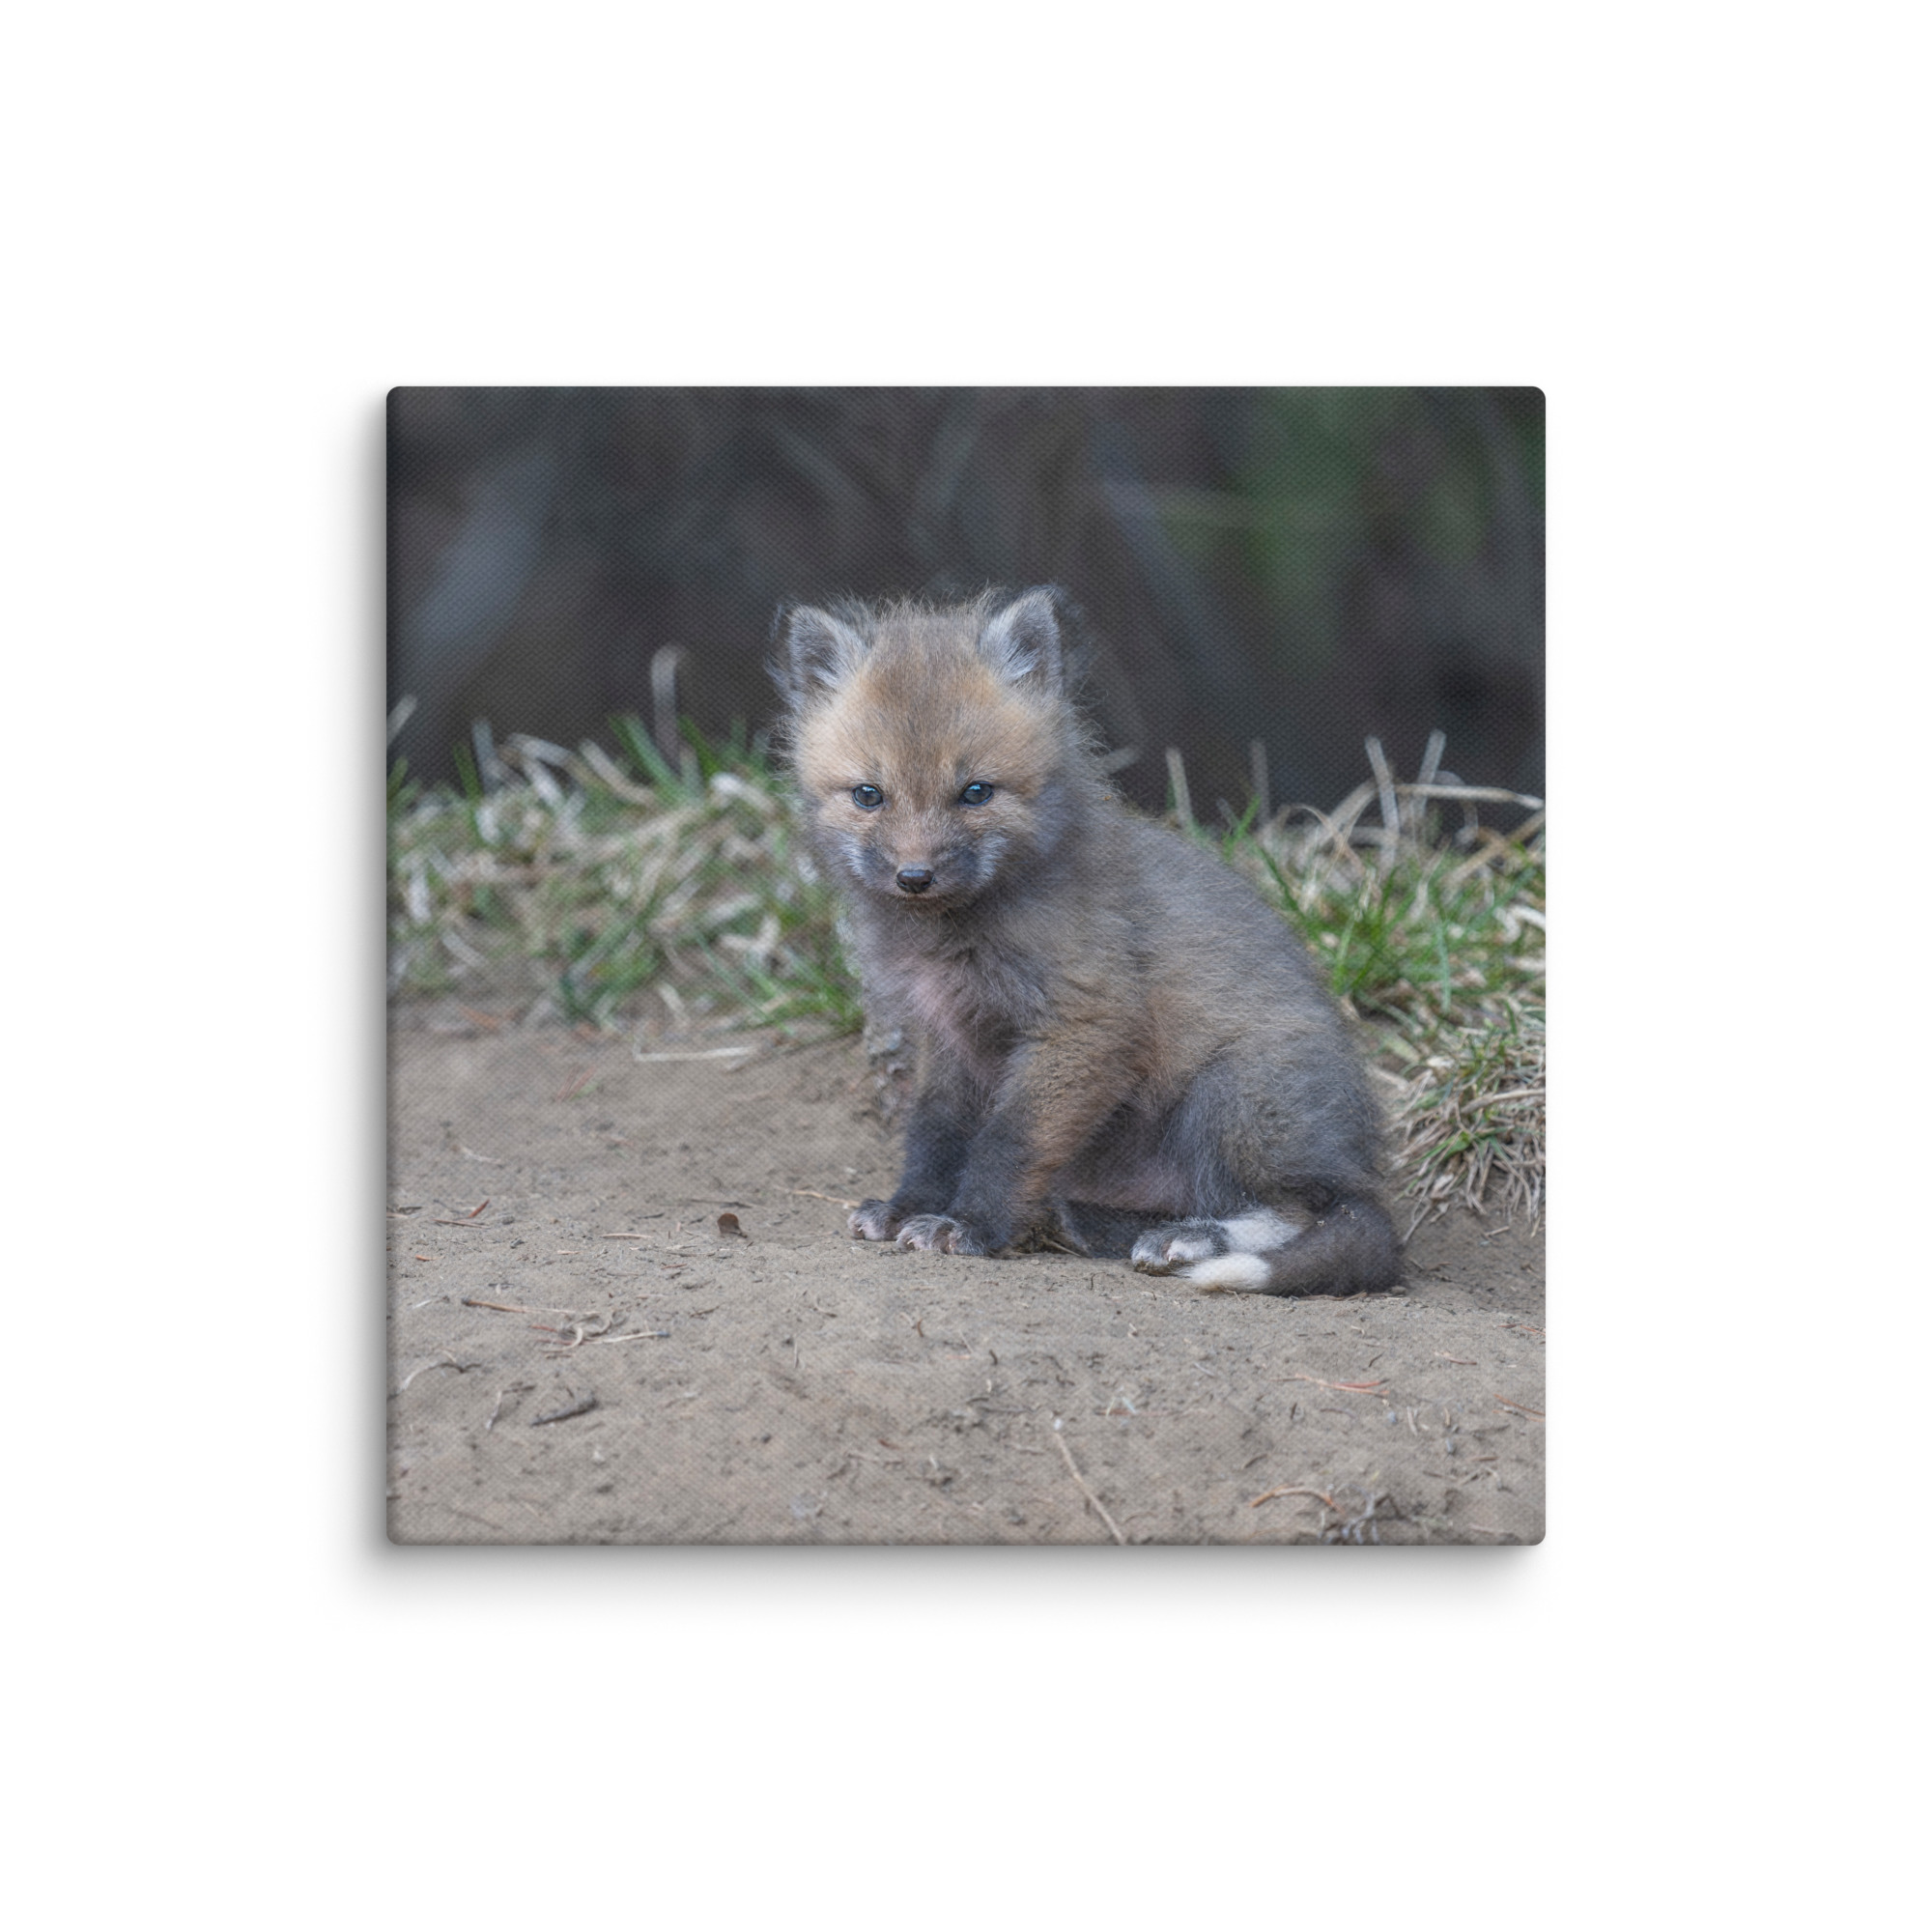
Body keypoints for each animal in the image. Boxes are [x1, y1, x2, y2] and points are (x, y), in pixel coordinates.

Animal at [776, 585, 1402, 1297]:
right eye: (868, 795)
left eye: (975, 793)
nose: (914, 876)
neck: (954, 937)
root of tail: (1358, 1160)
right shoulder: (950, 1036)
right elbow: (935, 1135)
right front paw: (910, 1207)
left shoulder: (1085, 1023)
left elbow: (1009, 1141)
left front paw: (969, 1226)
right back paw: (1096, 1224)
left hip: (1232, 1095)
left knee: (1312, 1212)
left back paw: (1191, 1240)